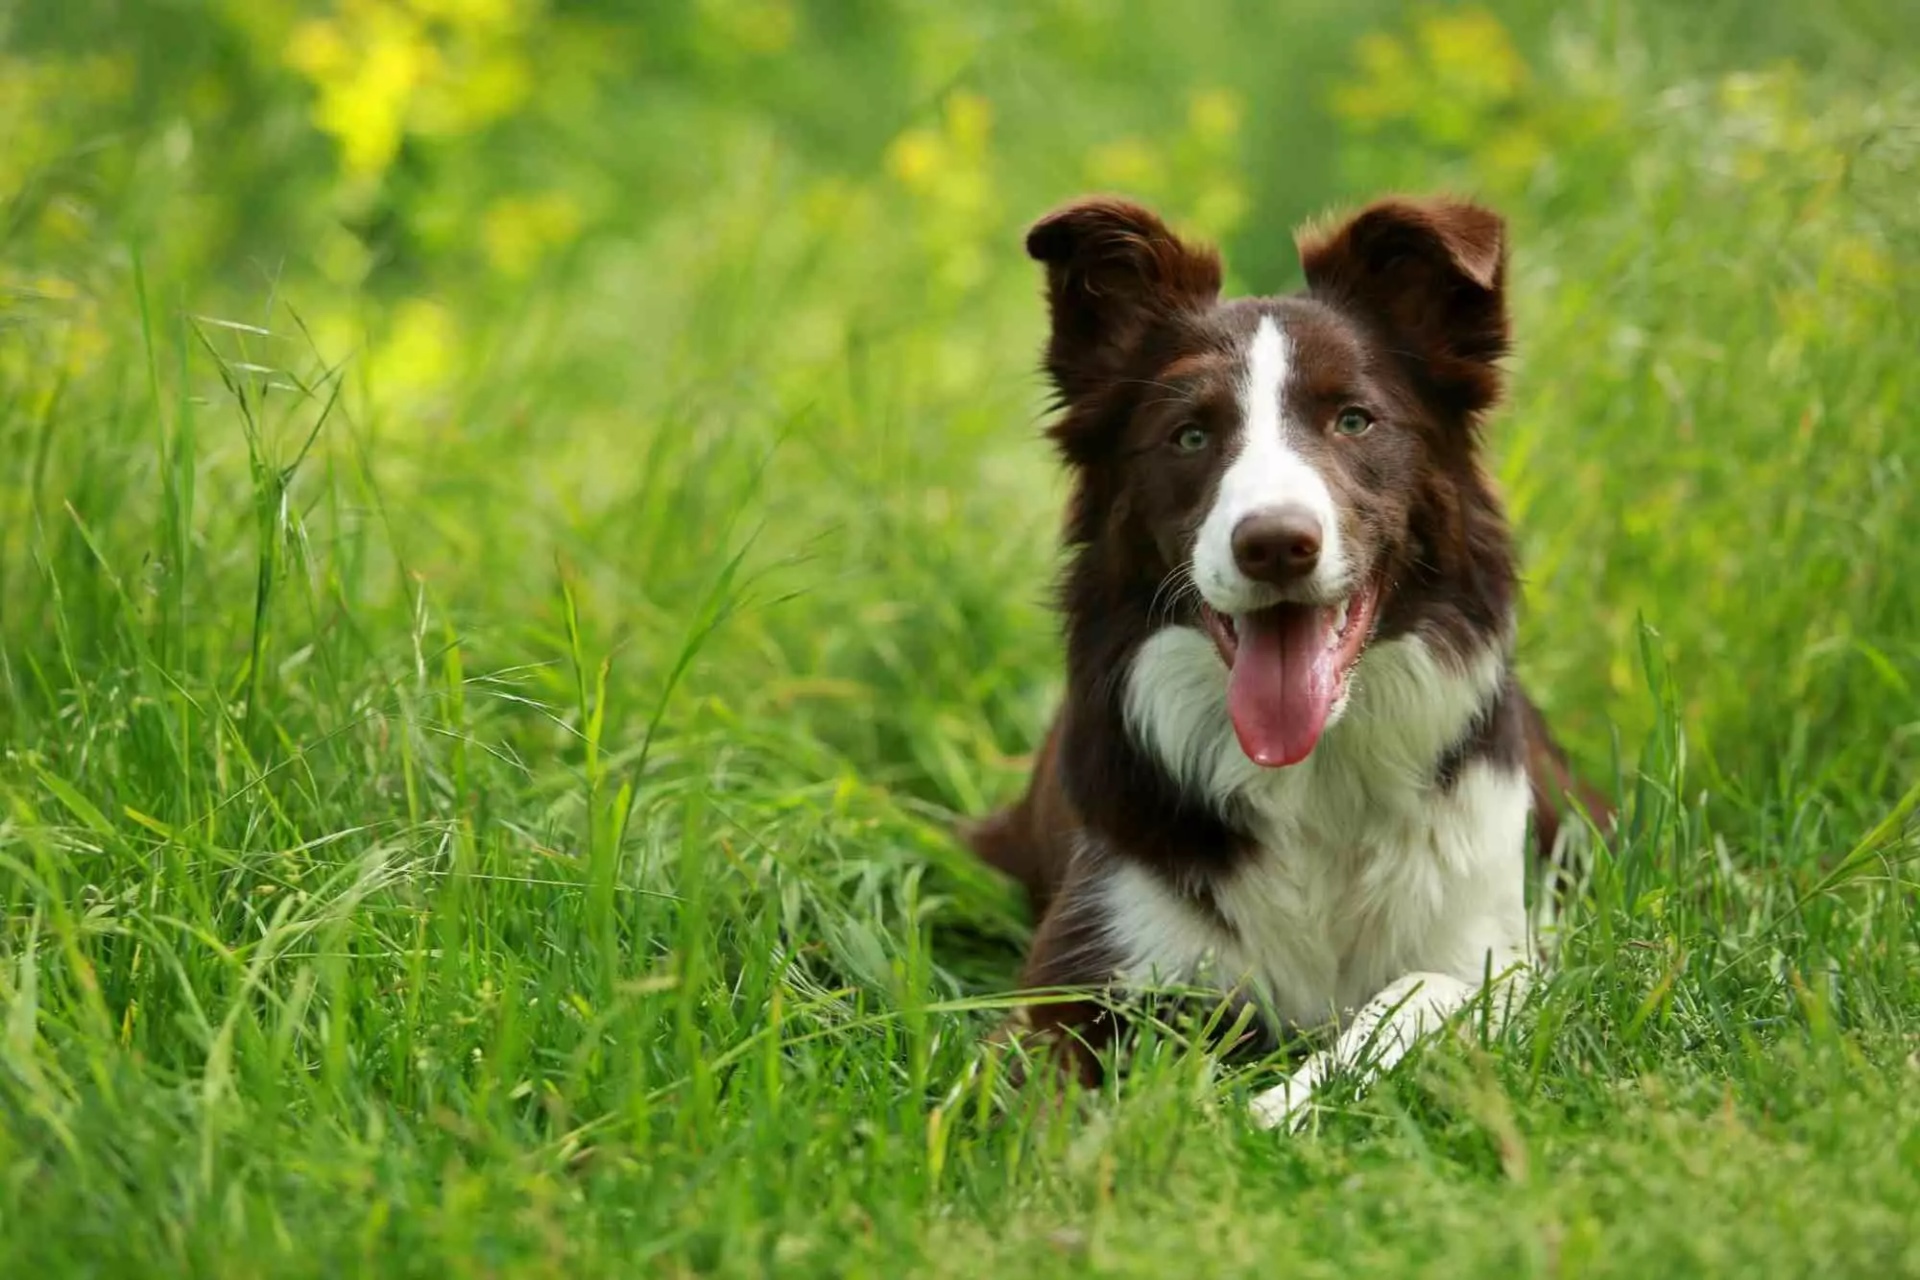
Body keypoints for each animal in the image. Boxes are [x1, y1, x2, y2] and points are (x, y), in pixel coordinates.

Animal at [960, 189, 1605, 1128]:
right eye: (1191, 435)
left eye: (1354, 420)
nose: (1274, 545)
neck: (1313, 775)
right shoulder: (1087, 963)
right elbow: (1020, 1078)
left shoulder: (1497, 957)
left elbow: (1411, 998)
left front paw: (1264, 1114)